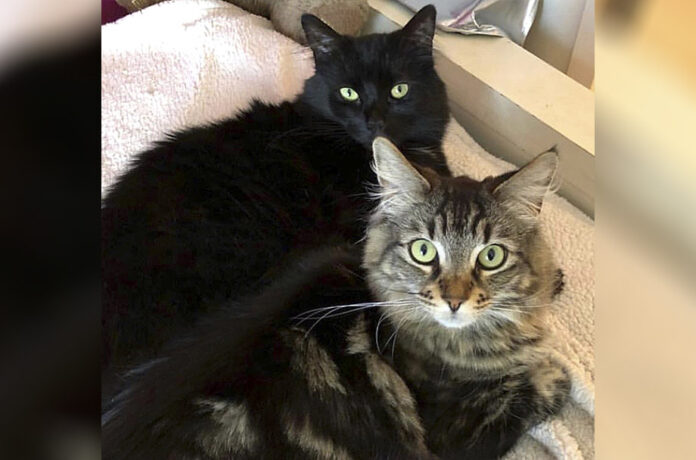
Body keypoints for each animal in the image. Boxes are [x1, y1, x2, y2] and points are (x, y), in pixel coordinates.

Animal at [103, 138, 572, 458]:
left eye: (491, 257)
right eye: (423, 251)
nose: (454, 300)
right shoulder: (455, 434)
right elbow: (541, 385)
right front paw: (553, 372)